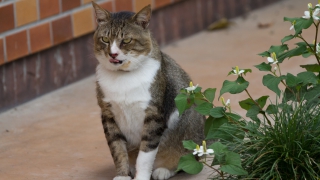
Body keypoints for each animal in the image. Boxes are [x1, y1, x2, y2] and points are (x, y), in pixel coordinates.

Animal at [91, 1, 204, 180]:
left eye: (126, 40)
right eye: (105, 39)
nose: (113, 54)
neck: (123, 77)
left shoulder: (153, 116)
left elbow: (145, 154)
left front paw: (141, 176)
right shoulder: (108, 115)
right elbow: (117, 150)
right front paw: (122, 175)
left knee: (185, 160)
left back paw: (163, 170)